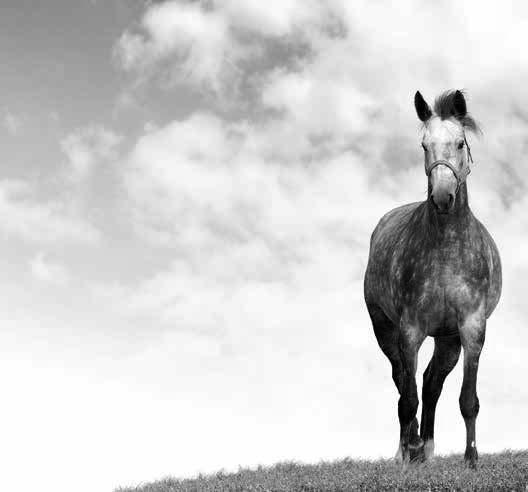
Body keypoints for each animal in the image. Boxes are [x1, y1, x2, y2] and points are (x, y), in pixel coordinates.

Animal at [364, 89, 504, 468]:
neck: (445, 250)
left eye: (460, 143)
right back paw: (409, 446)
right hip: (385, 330)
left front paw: (471, 459)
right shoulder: (410, 329)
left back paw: (425, 446)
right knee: (403, 380)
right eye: (424, 145)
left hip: (447, 339)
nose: (442, 197)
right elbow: (407, 396)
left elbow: (467, 399)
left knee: (431, 382)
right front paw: (405, 452)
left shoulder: (470, 328)